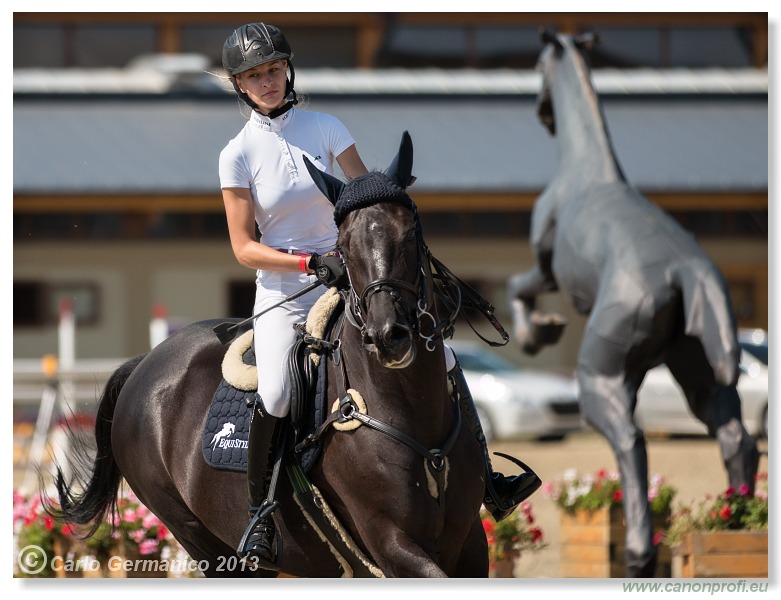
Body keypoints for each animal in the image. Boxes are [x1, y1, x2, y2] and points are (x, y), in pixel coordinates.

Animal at [48, 132, 488, 576]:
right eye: (343, 246)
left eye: (410, 232)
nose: (387, 337)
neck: (406, 404)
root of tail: (145, 363)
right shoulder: (392, 542)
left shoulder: (470, 540)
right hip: (200, 537)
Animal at [502, 31, 760, 576]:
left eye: (538, 66)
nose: (541, 112)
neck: (584, 168)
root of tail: (689, 270)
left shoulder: (546, 266)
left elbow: (517, 286)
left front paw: (539, 331)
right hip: (699, 374)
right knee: (737, 440)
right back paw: (735, 522)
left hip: (599, 376)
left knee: (631, 440)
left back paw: (642, 554)